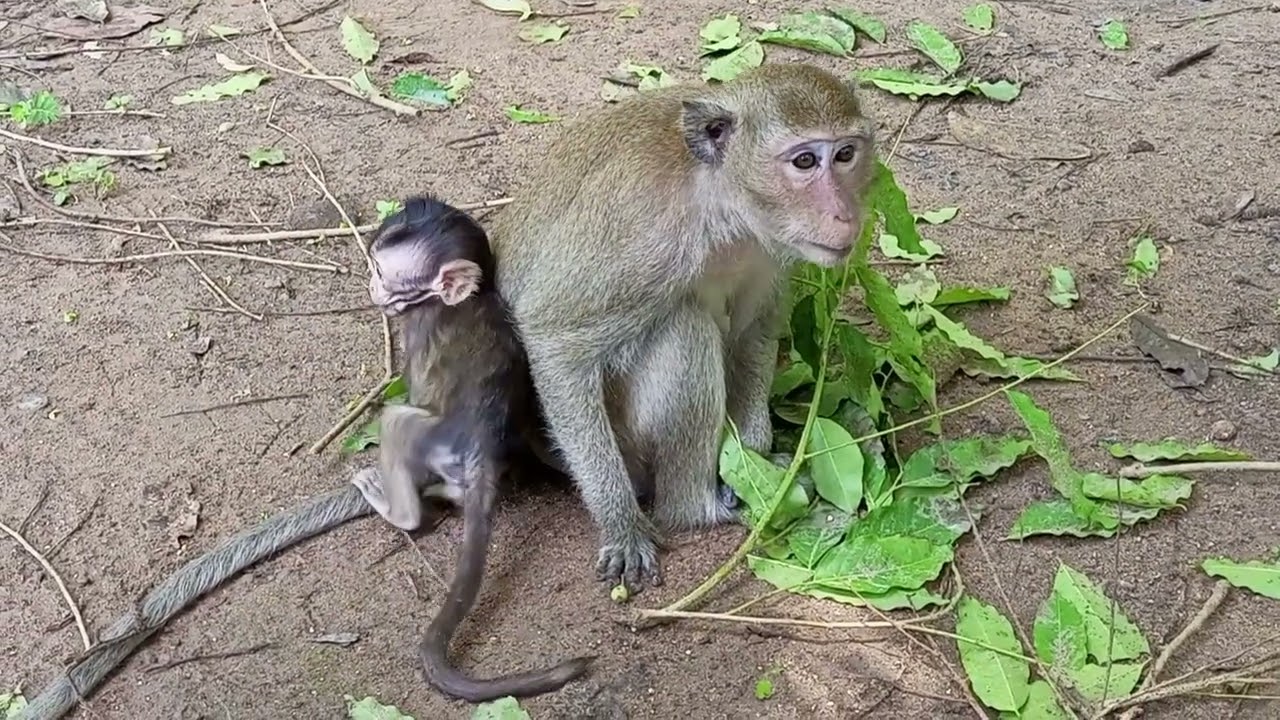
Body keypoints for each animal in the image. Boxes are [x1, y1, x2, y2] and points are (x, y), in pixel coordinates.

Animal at [350, 195, 594, 702]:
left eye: (383, 272)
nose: (371, 286)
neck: (470, 297)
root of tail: (482, 445)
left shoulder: (419, 329)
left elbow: (413, 390)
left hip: (436, 439)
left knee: (399, 422)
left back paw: (402, 510)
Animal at [487, 63, 876, 592]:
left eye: (845, 154)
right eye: (803, 161)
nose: (845, 213)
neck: (715, 200)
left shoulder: (766, 251)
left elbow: (753, 332)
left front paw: (754, 461)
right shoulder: (643, 234)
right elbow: (555, 338)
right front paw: (623, 525)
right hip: (628, 443)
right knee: (686, 328)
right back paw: (695, 508)